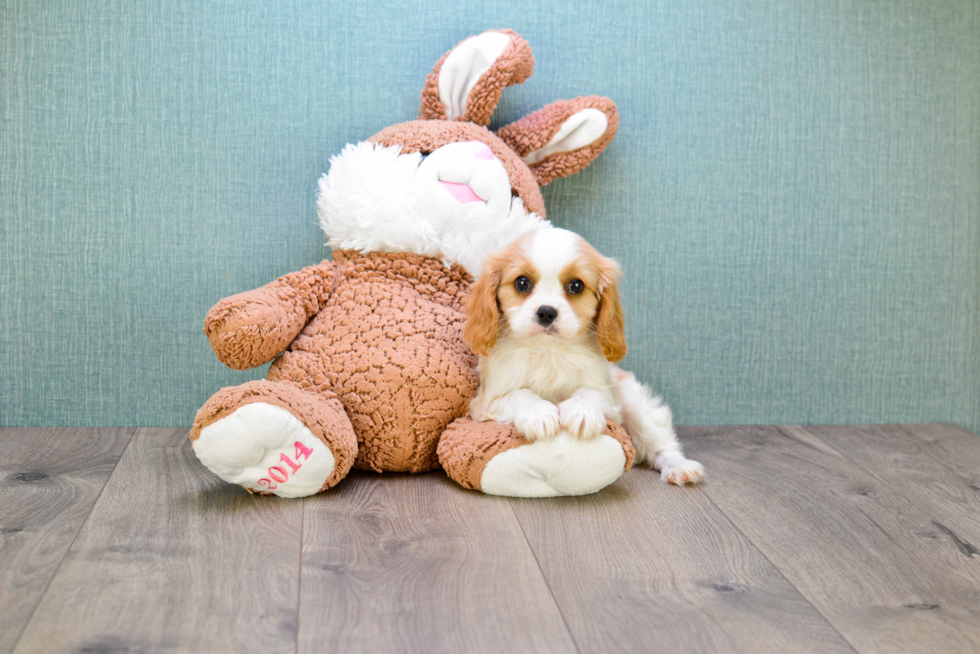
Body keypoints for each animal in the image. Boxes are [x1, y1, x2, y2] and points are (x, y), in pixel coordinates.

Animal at [466, 228, 704, 484]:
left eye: (576, 286)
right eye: (522, 283)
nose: (546, 312)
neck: (549, 350)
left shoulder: (608, 392)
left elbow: (590, 392)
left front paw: (582, 412)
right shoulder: (485, 401)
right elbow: (519, 394)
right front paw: (538, 412)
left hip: (633, 400)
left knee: (659, 440)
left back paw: (679, 466)